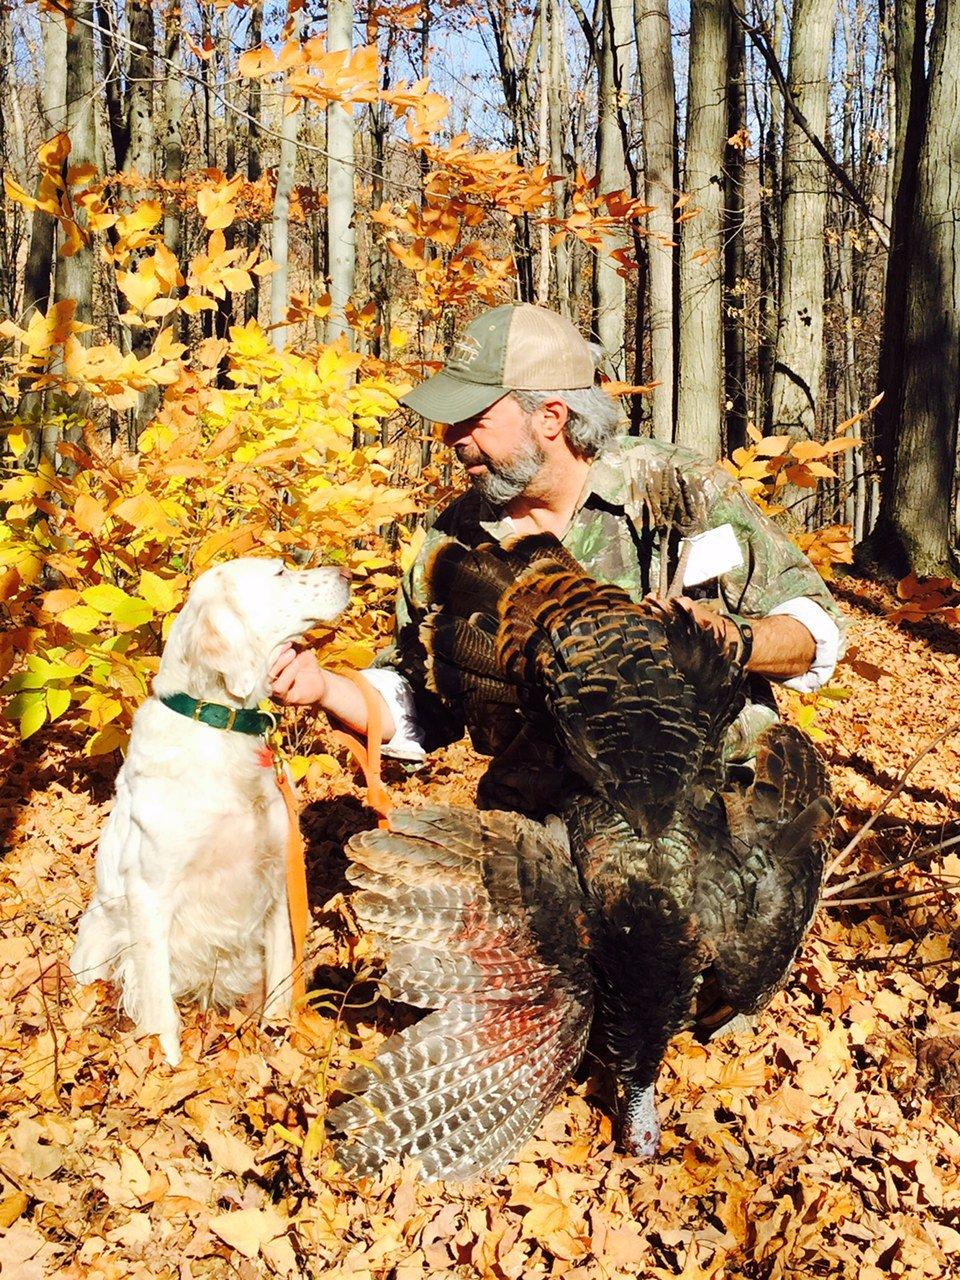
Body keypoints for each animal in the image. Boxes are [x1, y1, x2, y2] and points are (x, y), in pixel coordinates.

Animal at [71, 555, 350, 1064]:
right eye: (280, 572)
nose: (345, 575)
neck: (221, 726)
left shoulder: (274, 878)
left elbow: (281, 981)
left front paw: (278, 1043)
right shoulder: (150, 892)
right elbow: (160, 1010)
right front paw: (168, 1067)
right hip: (99, 939)